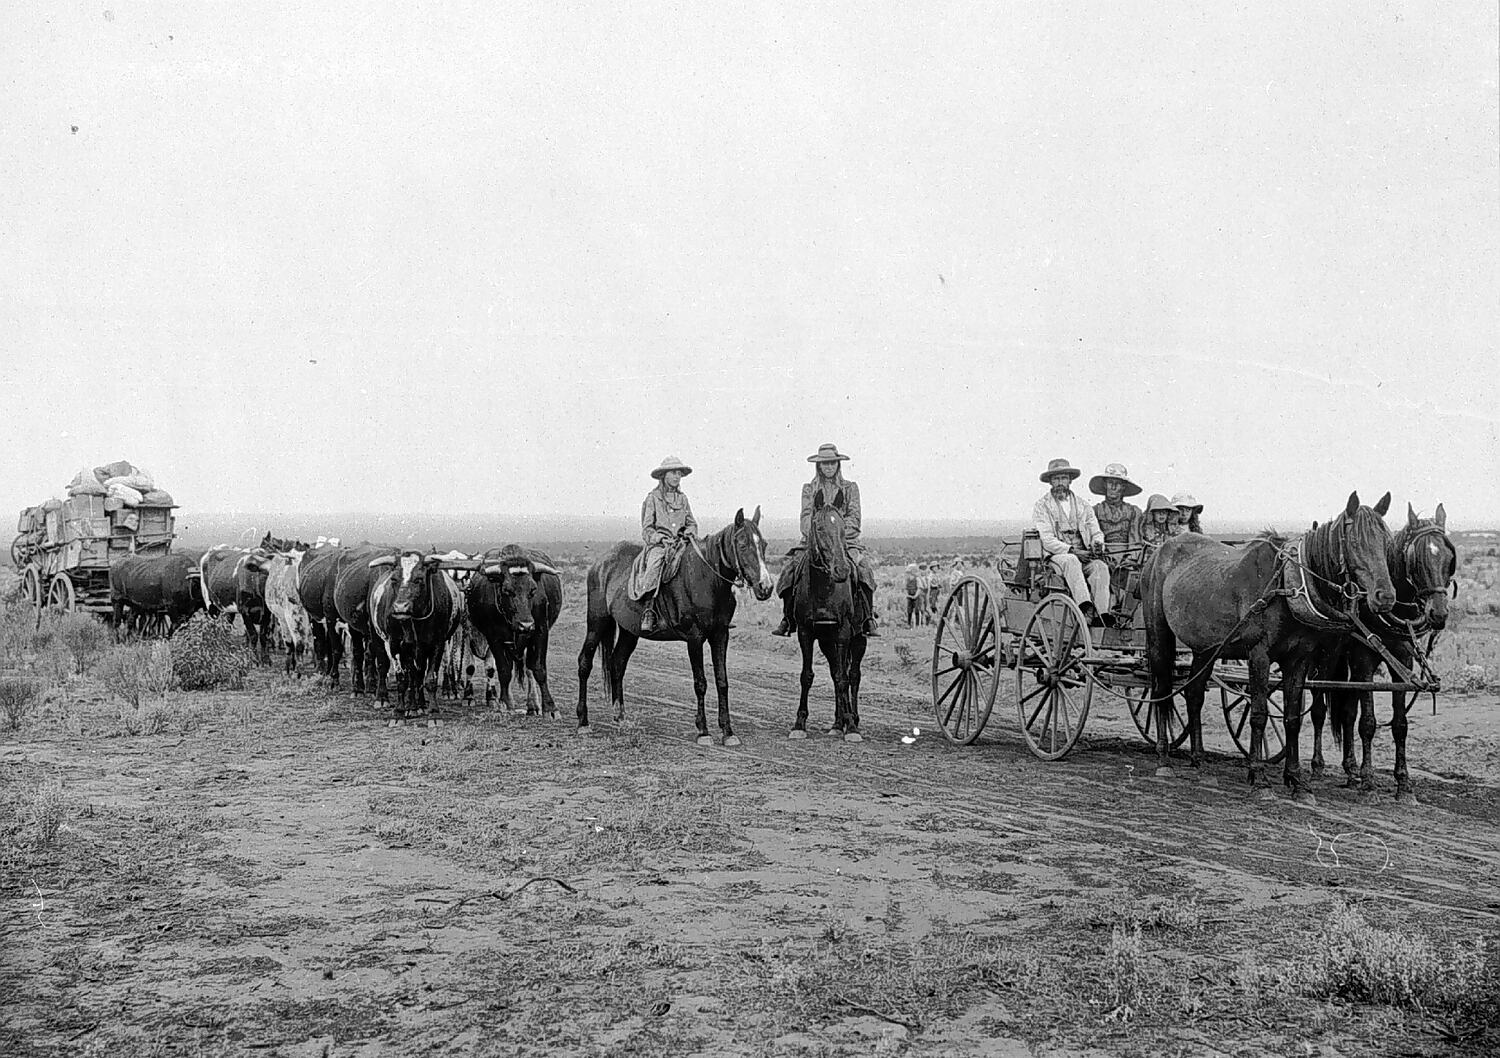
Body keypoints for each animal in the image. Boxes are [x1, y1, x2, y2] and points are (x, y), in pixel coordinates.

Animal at [576, 504, 774, 744]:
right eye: (743, 544)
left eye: (764, 544)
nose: (765, 587)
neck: (708, 580)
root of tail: (600, 564)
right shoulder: (695, 638)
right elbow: (700, 683)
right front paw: (703, 731)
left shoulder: (720, 635)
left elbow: (722, 682)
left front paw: (728, 732)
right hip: (597, 623)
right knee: (585, 663)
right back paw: (583, 721)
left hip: (628, 631)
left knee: (617, 664)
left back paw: (620, 717)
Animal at [786, 492, 870, 738]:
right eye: (820, 528)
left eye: (843, 528)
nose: (841, 570)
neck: (824, 589)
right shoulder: (806, 633)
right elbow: (808, 676)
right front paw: (799, 723)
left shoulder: (843, 632)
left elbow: (844, 678)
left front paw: (852, 728)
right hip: (826, 642)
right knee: (836, 672)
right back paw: (837, 723)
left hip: (858, 639)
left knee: (853, 675)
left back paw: (852, 719)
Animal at [1146, 489, 1392, 798]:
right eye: (1357, 542)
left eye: (1386, 541)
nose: (1386, 596)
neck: (1288, 584)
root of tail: (1162, 550)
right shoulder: (1259, 655)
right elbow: (1260, 713)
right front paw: (1258, 775)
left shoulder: (1298, 660)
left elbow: (1292, 718)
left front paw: (1296, 779)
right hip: (1159, 636)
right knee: (1161, 690)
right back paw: (1163, 758)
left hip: (1206, 649)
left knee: (1194, 695)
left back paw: (1198, 760)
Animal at [1314, 504, 1452, 798]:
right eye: (1418, 560)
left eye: (1448, 558)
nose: (1438, 613)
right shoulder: (1364, 660)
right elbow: (1367, 722)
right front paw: (1368, 780)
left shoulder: (1403, 660)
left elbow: (1399, 724)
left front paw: (1403, 783)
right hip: (1322, 658)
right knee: (1318, 709)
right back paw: (1318, 766)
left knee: (1346, 713)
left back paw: (1350, 770)